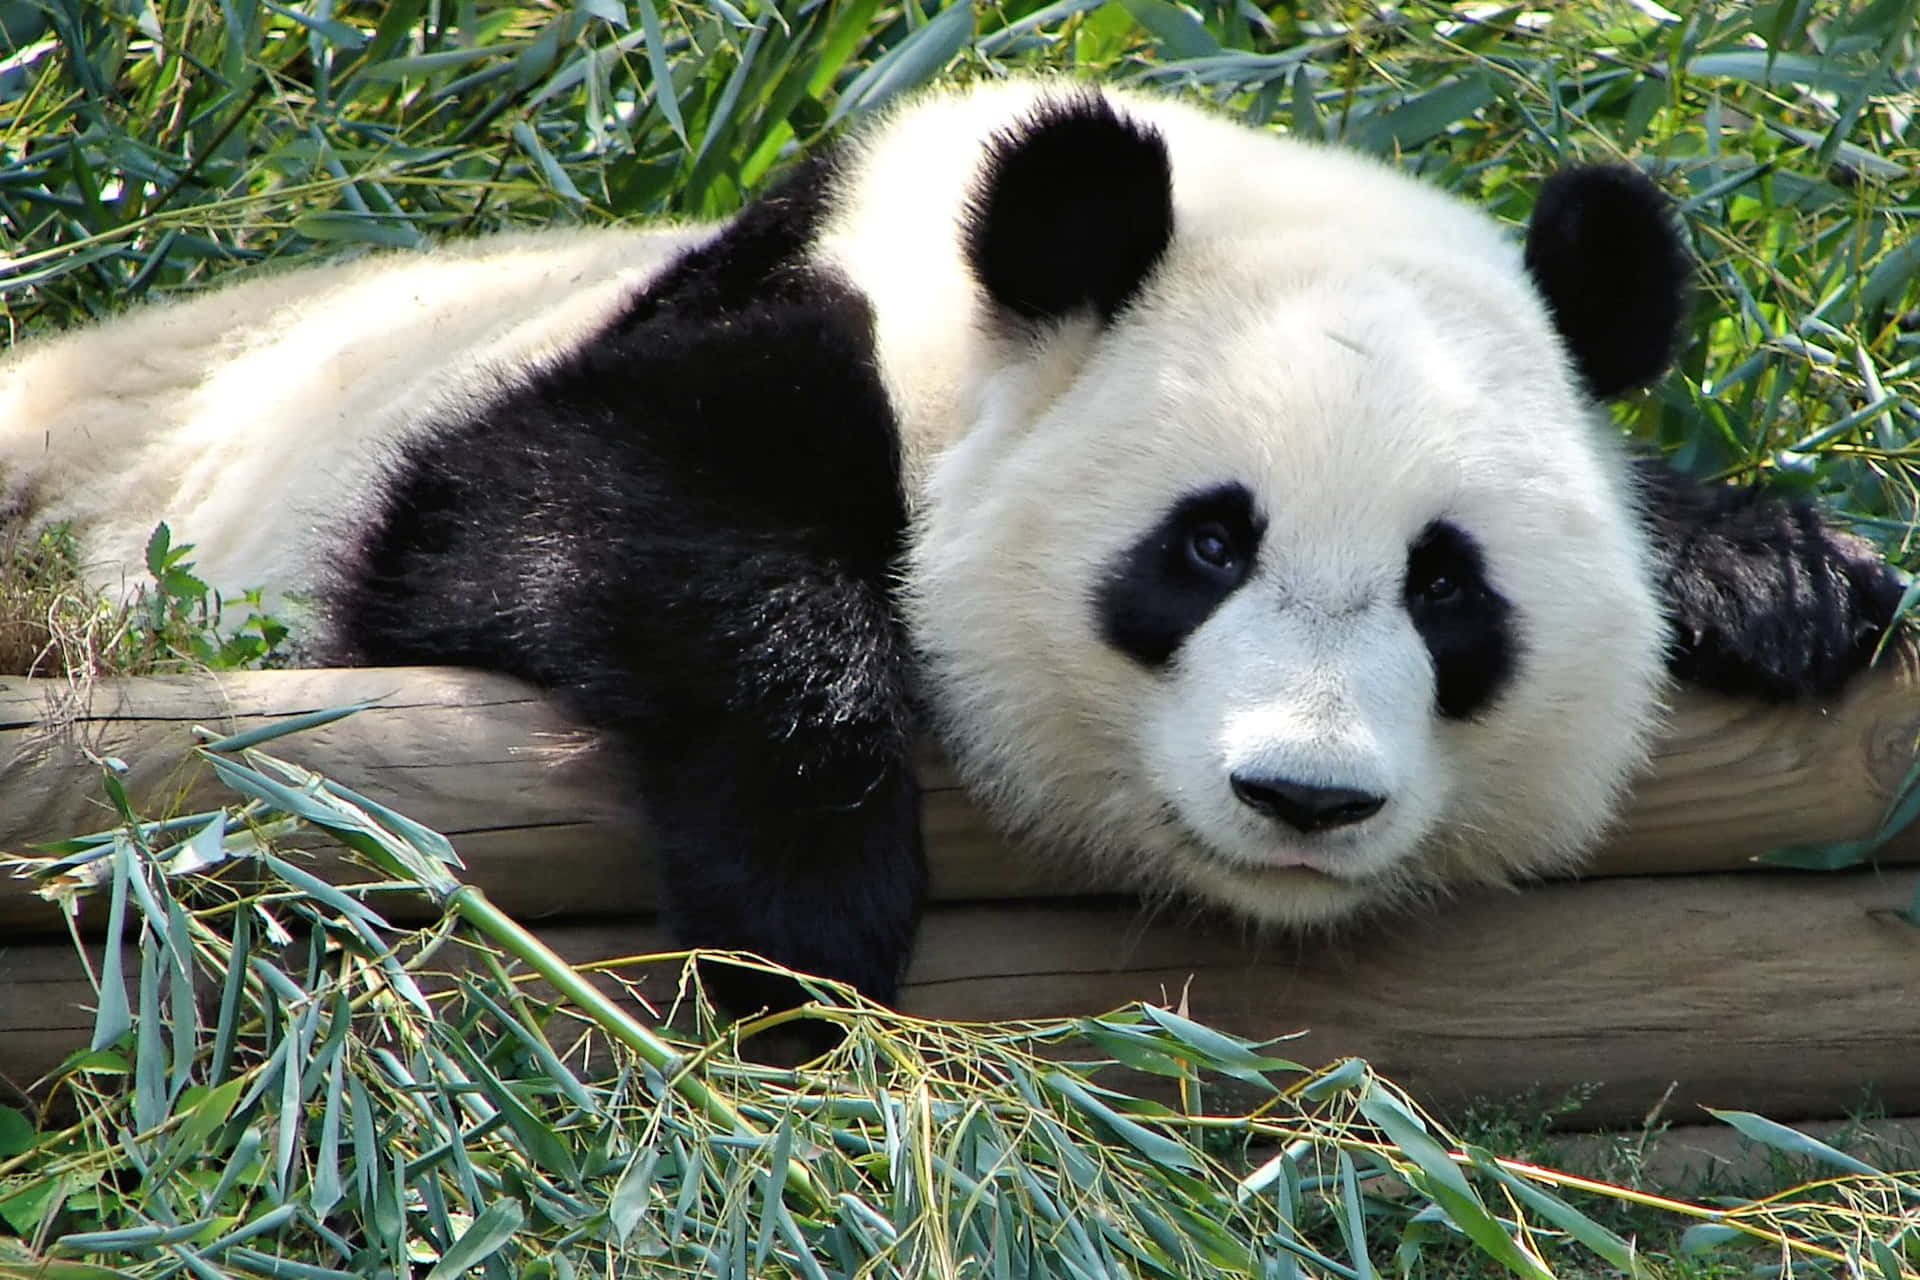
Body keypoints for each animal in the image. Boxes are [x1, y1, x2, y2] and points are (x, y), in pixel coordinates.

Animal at [0, 80, 1896, 1013]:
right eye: (1206, 548)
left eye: (1450, 588)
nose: (1305, 797)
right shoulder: (739, 336)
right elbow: (538, 514)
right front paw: (808, 916)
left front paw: (1782, 581)